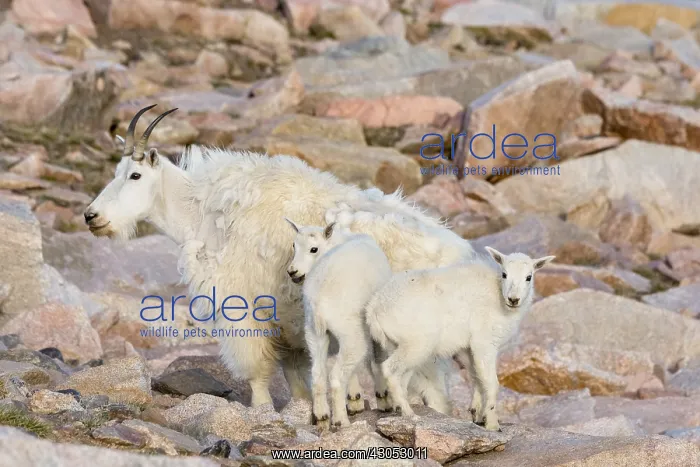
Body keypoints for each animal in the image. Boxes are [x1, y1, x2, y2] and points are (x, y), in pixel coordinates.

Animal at [84, 105, 476, 409]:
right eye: (116, 173)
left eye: (135, 174)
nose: (91, 216)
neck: (202, 211)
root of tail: (464, 256)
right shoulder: (286, 322)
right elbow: (295, 375)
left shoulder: (240, 305)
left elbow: (256, 369)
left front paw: (260, 409)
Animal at [365, 247, 555, 430]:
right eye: (504, 274)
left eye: (529, 277)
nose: (513, 299)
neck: (499, 298)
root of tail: (374, 308)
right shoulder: (484, 343)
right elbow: (491, 383)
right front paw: (492, 423)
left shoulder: (468, 348)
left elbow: (477, 377)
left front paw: (477, 415)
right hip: (417, 344)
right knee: (389, 369)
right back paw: (408, 413)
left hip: (399, 345)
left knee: (401, 376)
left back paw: (400, 408)